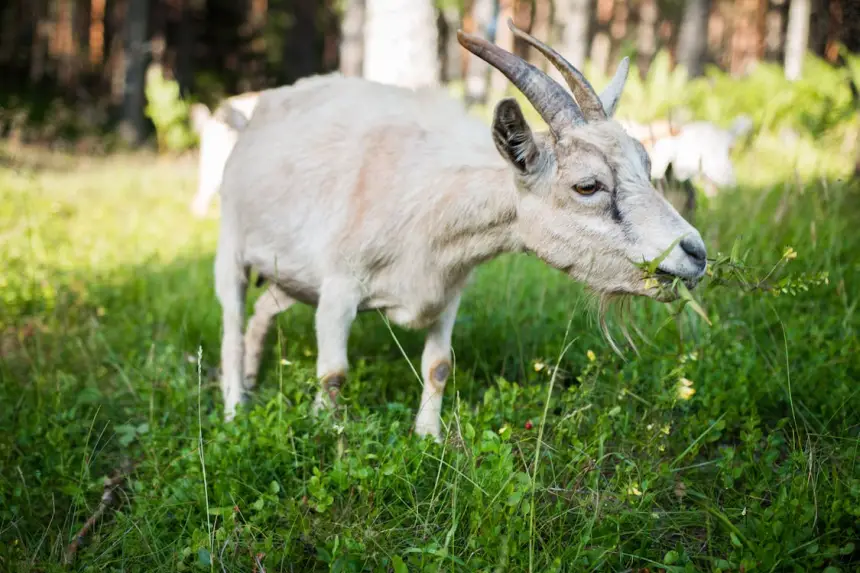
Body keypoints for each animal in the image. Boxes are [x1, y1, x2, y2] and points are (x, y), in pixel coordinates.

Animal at [213, 16, 704, 438]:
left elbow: (438, 366)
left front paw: (428, 438)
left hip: (290, 274)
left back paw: (254, 378)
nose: (695, 253)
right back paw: (236, 409)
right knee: (232, 323)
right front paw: (330, 441)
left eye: (647, 165)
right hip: (231, 244)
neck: (428, 201)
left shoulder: (447, 291)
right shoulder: (338, 288)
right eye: (587, 185)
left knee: (263, 311)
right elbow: (334, 375)